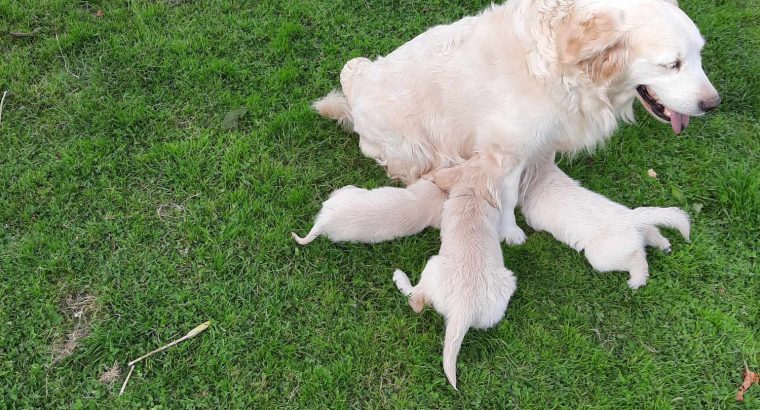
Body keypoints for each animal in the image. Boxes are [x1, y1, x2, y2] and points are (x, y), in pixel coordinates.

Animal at [392, 155, 516, 390]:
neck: (473, 196)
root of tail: (463, 308)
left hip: (432, 266)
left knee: (417, 300)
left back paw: (399, 277)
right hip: (506, 285)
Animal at [524, 155, 688, 290]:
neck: (543, 177)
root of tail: (632, 218)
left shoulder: (534, 218)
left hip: (601, 257)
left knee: (638, 261)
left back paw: (636, 282)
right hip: (644, 231)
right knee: (654, 236)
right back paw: (665, 246)